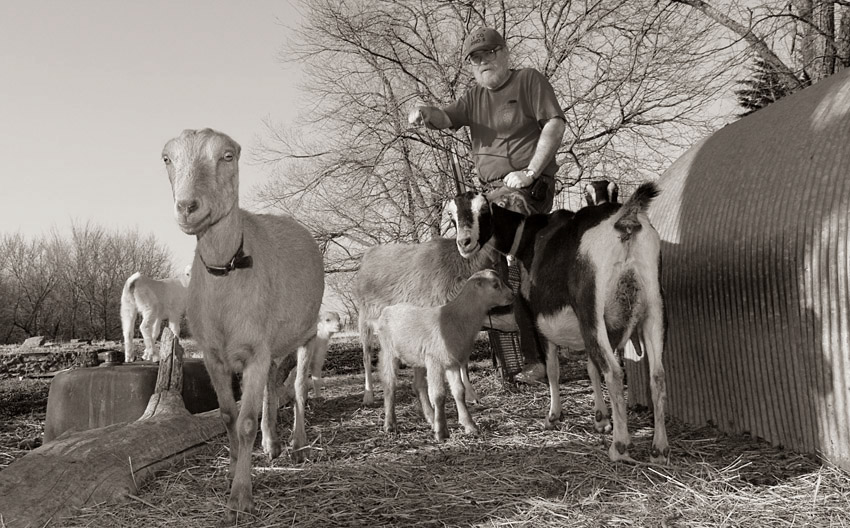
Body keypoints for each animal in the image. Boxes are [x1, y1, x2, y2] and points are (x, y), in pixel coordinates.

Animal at [161, 128, 322, 520]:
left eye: (228, 156)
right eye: (167, 158)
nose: (187, 206)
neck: (227, 268)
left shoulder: (255, 351)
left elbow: (245, 422)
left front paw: (241, 497)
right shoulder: (214, 356)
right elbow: (227, 416)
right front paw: (233, 470)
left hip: (308, 333)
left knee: (298, 388)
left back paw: (297, 445)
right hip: (272, 344)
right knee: (272, 385)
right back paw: (272, 443)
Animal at [352, 190, 510, 404]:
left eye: (484, 209)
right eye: (451, 216)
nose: (464, 242)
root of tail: (369, 254)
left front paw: (470, 394)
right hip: (365, 316)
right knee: (366, 354)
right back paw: (368, 394)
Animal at [376, 268, 510, 442]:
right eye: (495, 285)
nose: (512, 295)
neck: (456, 318)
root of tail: (388, 309)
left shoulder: (452, 363)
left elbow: (459, 392)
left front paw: (470, 425)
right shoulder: (435, 361)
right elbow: (439, 395)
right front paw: (441, 432)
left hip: (418, 358)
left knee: (418, 385)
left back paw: (431, 418)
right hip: (388, 352)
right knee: (390, 384)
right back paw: (390, 424)